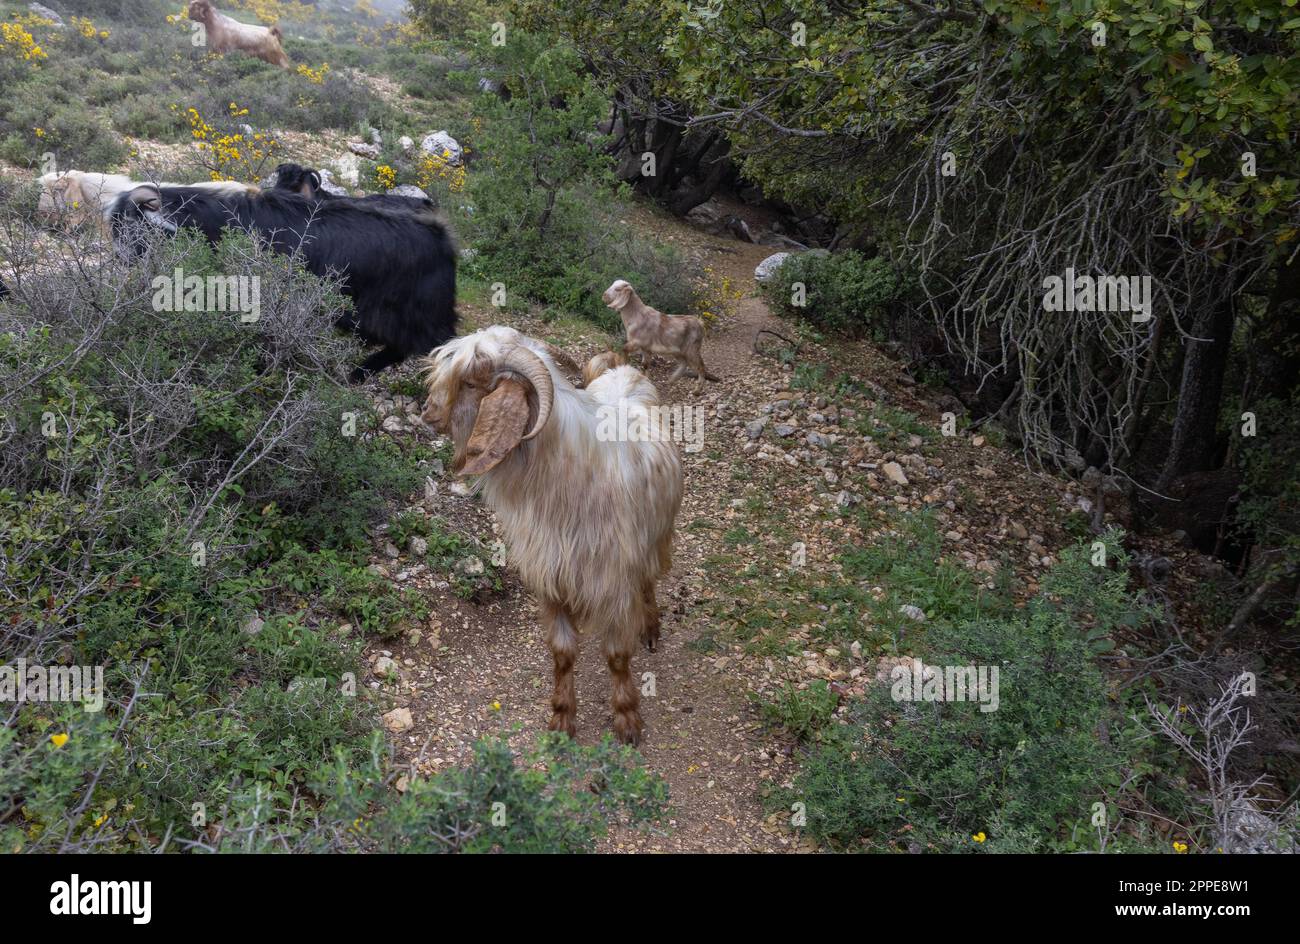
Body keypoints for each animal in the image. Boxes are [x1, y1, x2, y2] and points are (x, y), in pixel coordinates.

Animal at [109, 184, 460, 379]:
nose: (119, 261)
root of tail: (443, 241)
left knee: (414, 346)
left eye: (133, 228)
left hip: (399, 313)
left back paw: (358, 373)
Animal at [423, 325, 686, 748]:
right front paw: (562, 718)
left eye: (470, 382)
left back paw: (650, 628)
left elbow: (617, 656)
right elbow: (562, 653)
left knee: (649, 580)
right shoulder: (551, 578)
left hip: (657, 536)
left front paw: (627, 720)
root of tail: (623, 372)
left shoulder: (613, 582)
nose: (427, 412)